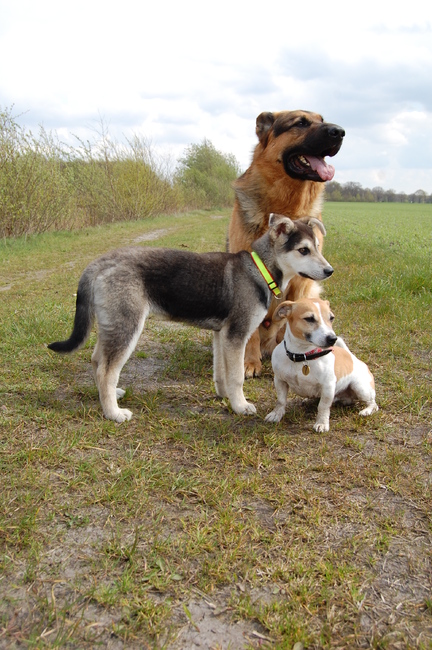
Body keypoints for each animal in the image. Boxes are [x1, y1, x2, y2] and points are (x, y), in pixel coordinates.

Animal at [48, 213, 334, 423]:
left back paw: (111, 396)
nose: (329, 271)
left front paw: (225, 397)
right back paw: (113, 413)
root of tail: (100, 262)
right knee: (107, 370)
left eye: (318, 248)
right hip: (127, 326)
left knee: (98, 361)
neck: (259, 268)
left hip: (113, 325)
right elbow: (237, 376)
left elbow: (221, 372)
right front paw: (241, 406)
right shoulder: (237, 334)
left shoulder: (221, 335)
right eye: (303, 250)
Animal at [228, 110, 345, 378]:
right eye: (300, 123)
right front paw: (250, 362)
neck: (287, 207)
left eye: (323, 120)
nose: (340, 132)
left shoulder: (303, 282)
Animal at [265, 298, 378, 432]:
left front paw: (322, 423)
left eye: (331, 318)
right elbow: (281, 401)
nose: (333, 338)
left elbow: (323, 407)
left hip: (361, 387)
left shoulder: (327, 386)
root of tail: (354, 358)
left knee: (373, 404)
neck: (303, 356)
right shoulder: (279, 380)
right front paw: (276, 414)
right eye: (309, 318)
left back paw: (366, 411)